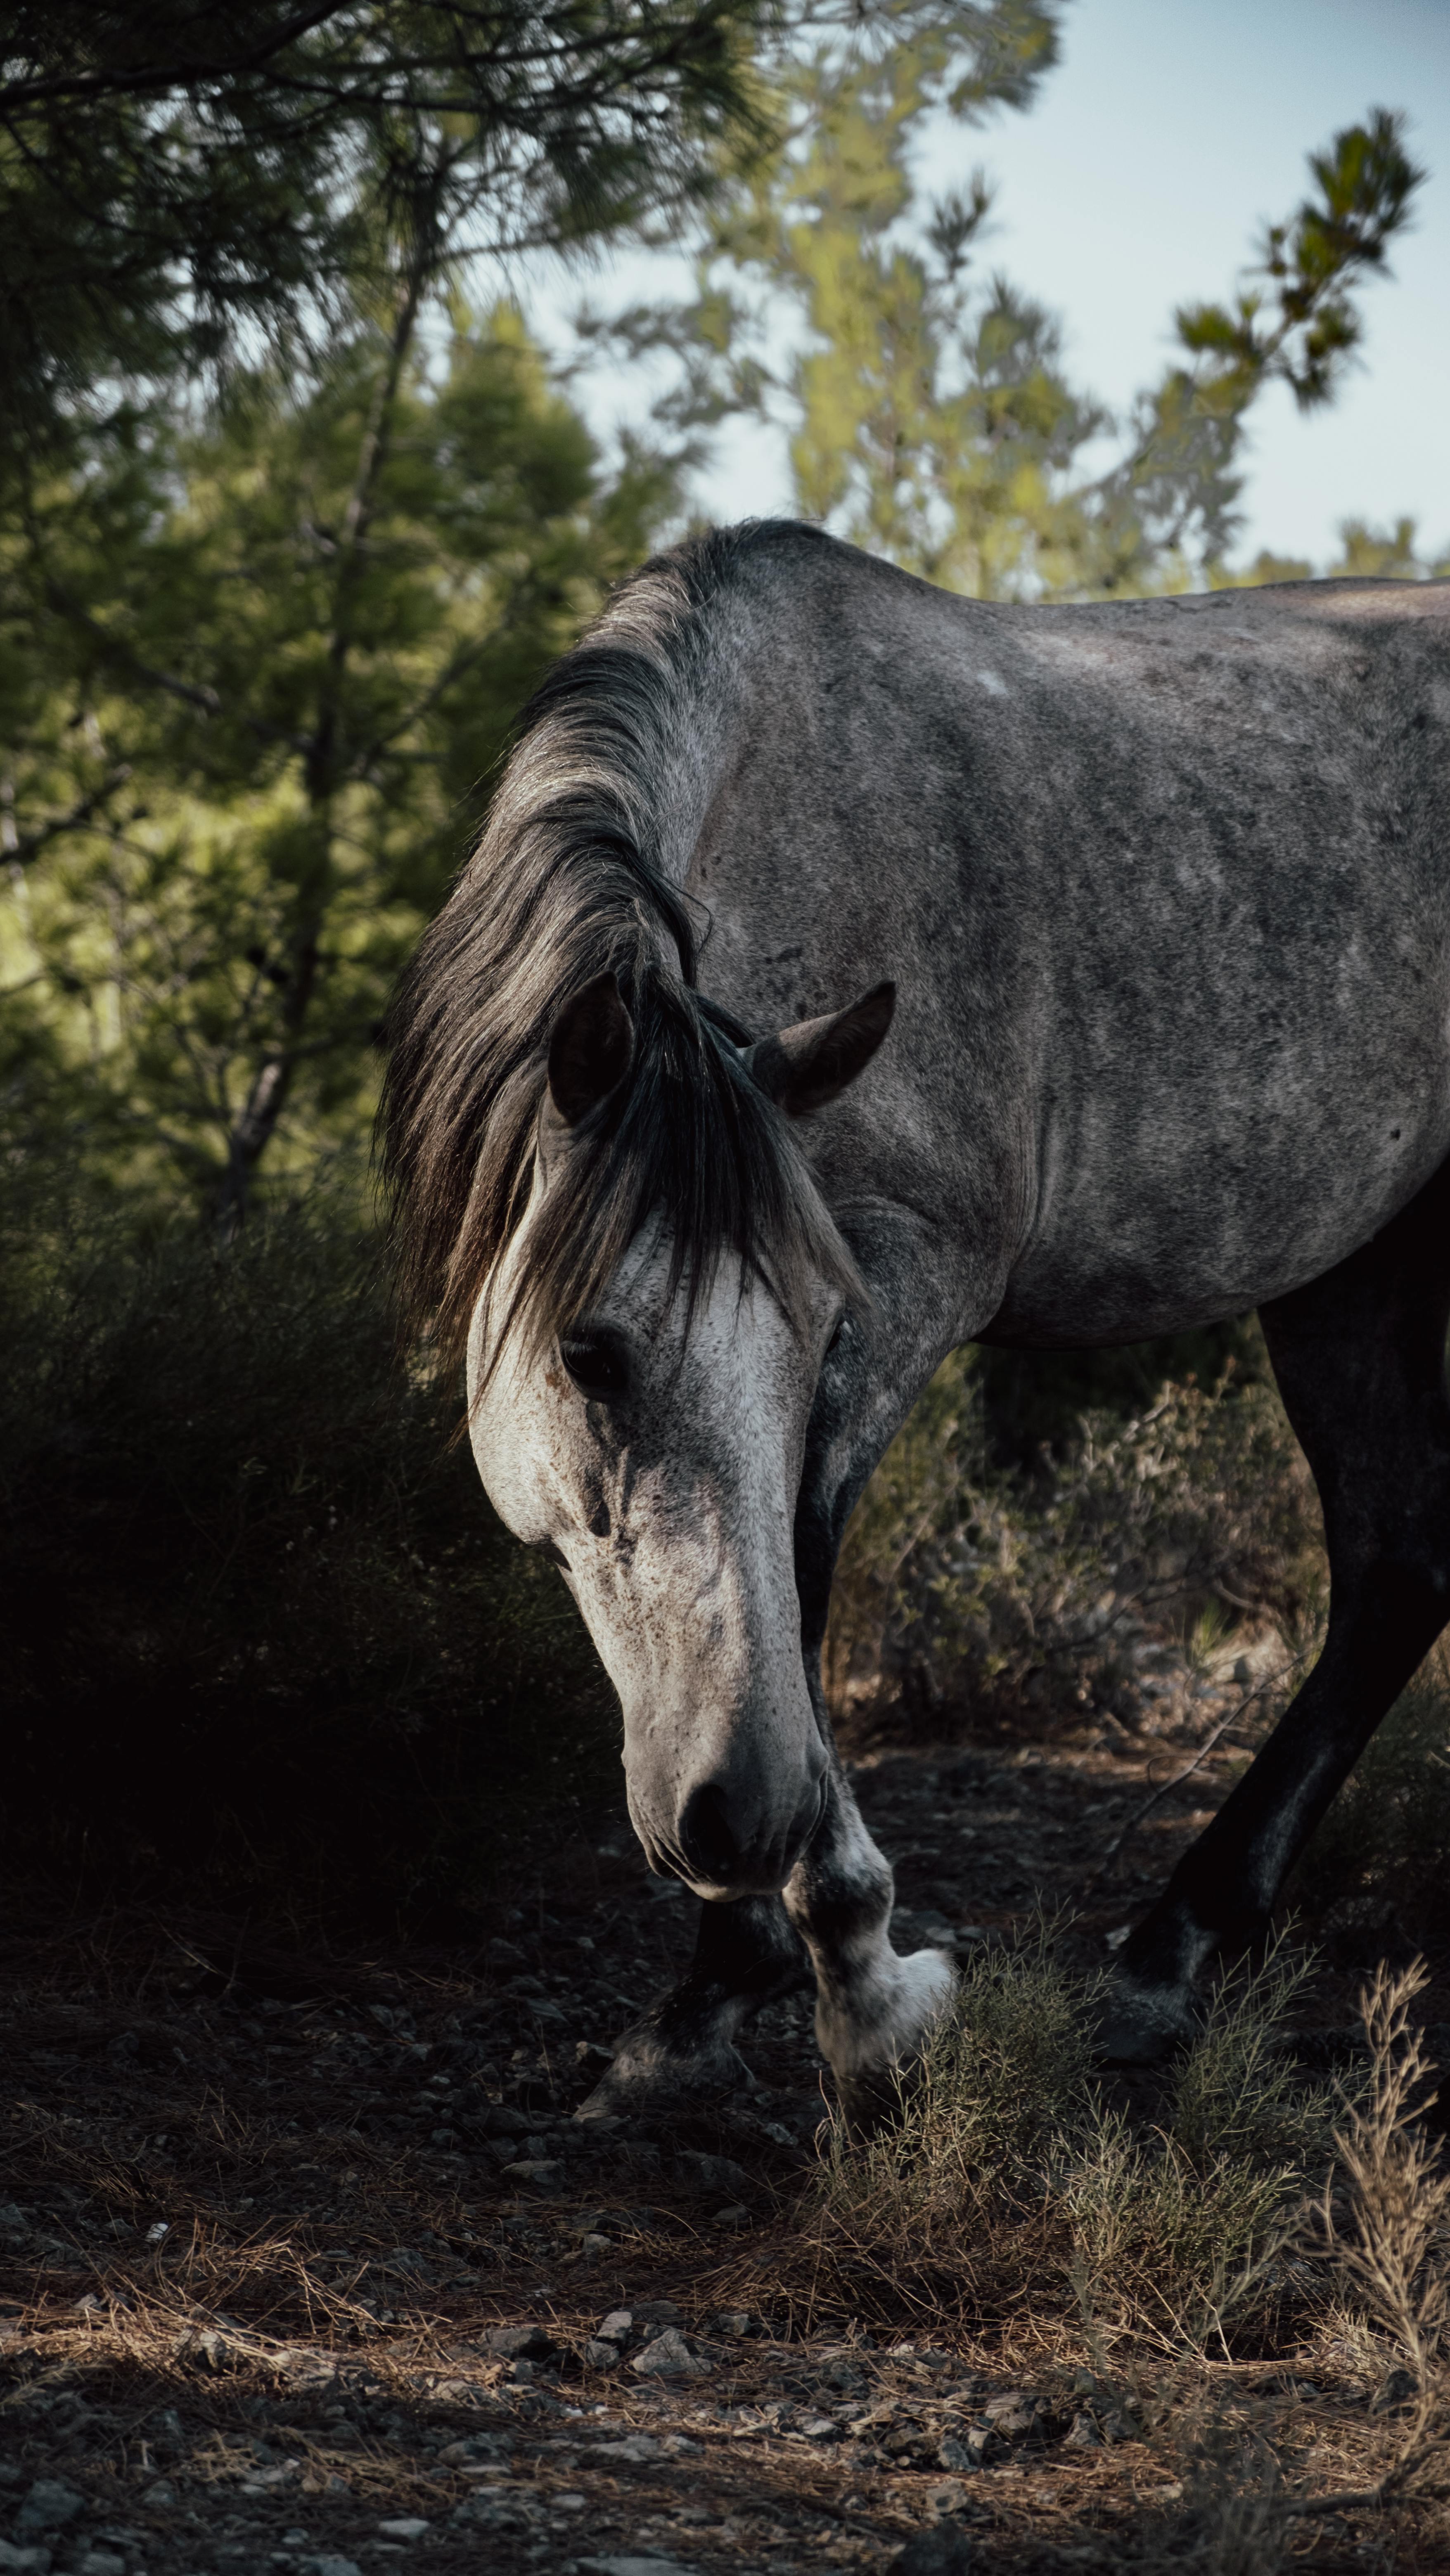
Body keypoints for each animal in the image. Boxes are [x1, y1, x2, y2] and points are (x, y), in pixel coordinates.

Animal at [386, 518, 1450, 2112]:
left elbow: (799, 1573)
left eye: (822, 1332)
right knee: (1396, 1567)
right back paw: (1168, 1956)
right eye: (590, 1352)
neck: (788, 818)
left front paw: (837, 1977)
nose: (737, 1817)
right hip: (1357, 1265)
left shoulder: (903, 1279)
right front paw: (738, 1981)